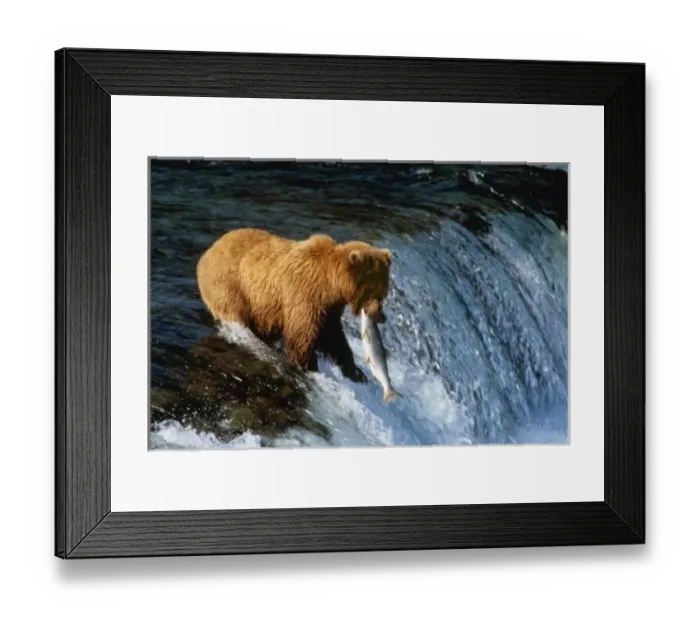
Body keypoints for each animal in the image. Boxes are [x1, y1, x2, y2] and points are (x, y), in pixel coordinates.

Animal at [196, 228, 392, 382]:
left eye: (384, 293)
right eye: (377, 293)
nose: (381, 317)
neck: (332, 284)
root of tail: (206, 254)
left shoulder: (329, 307)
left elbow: (333, 336)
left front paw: (356, 372)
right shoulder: (305, 294)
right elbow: (302, 336)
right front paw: (309, 367)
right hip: (231, 287)